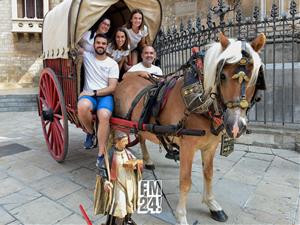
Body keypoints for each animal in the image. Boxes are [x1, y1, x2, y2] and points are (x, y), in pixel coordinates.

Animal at [113, 32, 266, 224]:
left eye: (255, 76)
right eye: (222, 76)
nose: (235, 125)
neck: (199, 102)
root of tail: (125, 78)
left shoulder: (211, 146)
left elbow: (208, 173)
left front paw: (212, 204)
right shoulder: (187, 146)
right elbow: (185, 181)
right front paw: (181, 215)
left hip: (139, 123)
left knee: (141, 136)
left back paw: (147, 160)